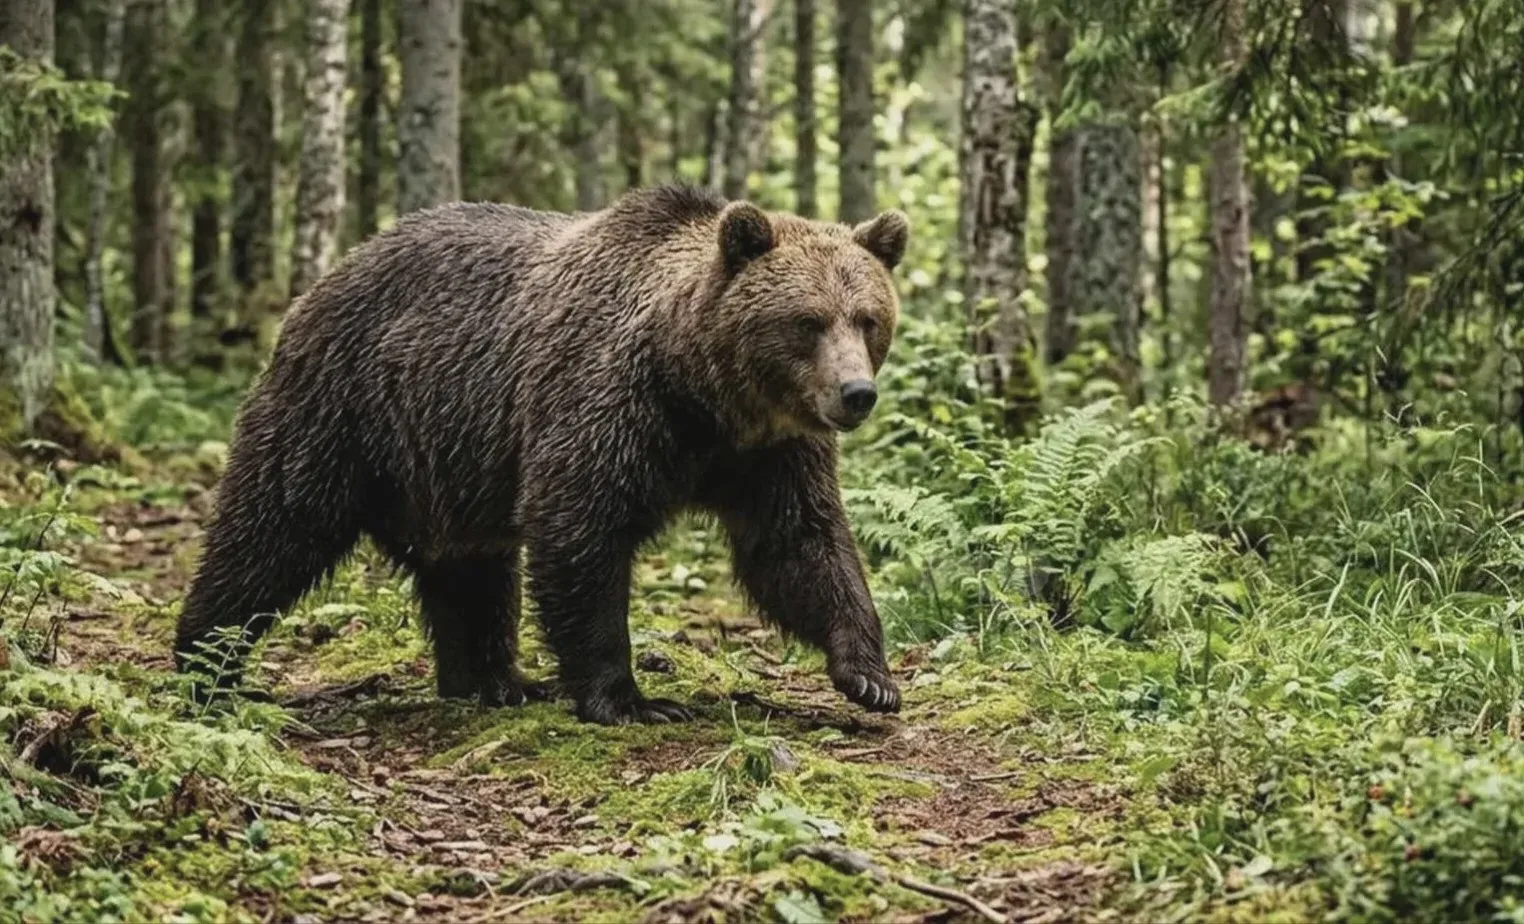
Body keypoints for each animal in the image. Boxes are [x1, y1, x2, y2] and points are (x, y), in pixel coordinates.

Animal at [174, 184, 909, 725]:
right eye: (807, 320)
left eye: (868, 317)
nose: (855, 394)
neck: (703, 395)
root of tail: (323, 282)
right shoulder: (606, 402)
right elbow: (580, 531)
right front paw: (631, 699)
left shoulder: (768, 452)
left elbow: (798, 544)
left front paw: (869, 676)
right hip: (341, 413)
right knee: (271, 530)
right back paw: (205, 667)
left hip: (446, 463)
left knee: (470, 573)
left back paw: (495, 680)